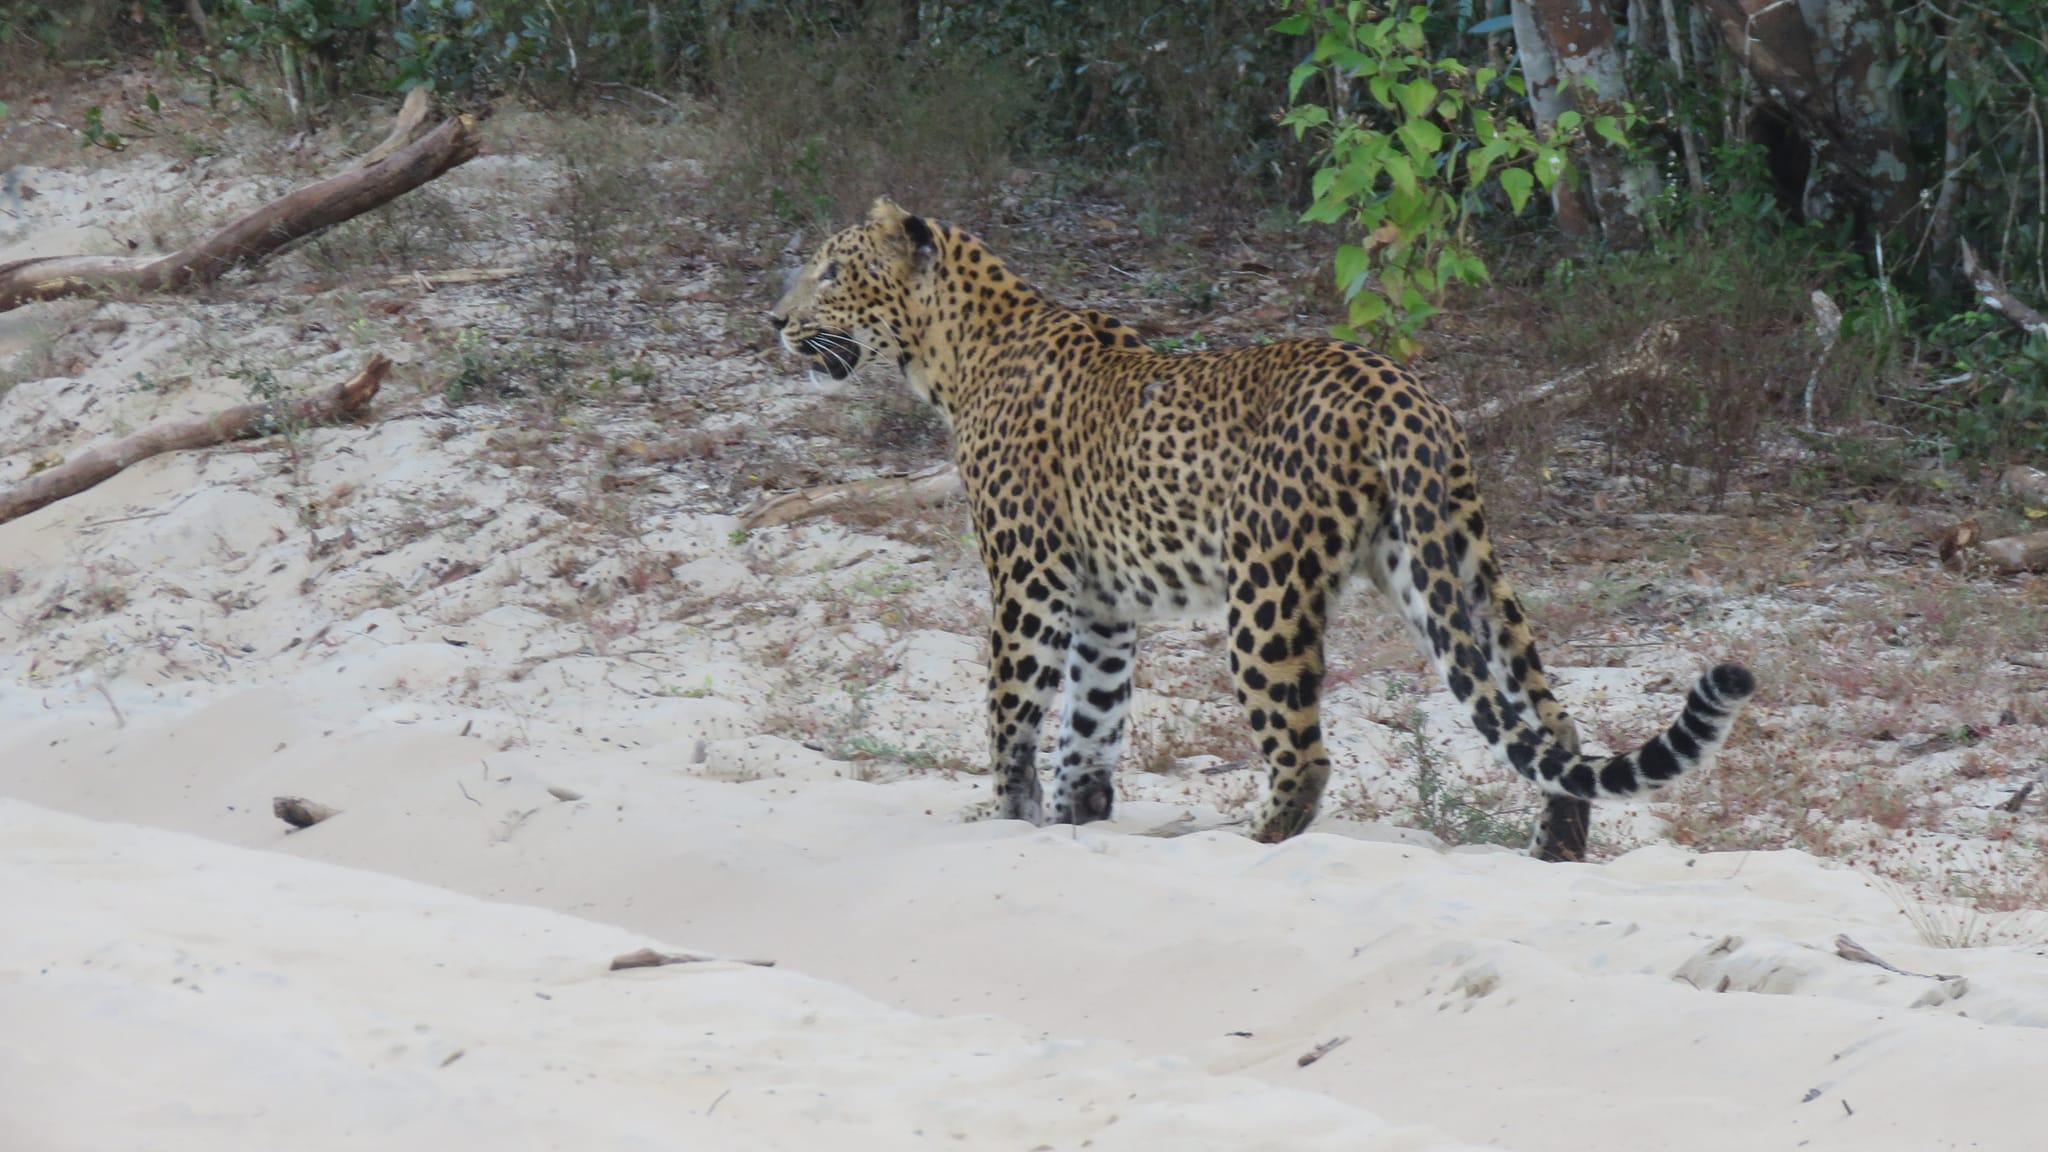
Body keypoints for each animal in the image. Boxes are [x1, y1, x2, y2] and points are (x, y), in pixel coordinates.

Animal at [769, 197, 1755, 856]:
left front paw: (1011, 819)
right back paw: (1557, 847)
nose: (775, 320)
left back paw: (1258, 843)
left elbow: (1011, 710)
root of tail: (1405, 393)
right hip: (1451, 565)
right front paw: (1078, 822)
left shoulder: (1031, 581)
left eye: (832, 270)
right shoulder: (1103, 605)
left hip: (1268, 595)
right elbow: (1091, 721)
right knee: (1553, 724)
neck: (952, 358)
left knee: (1306, 753)